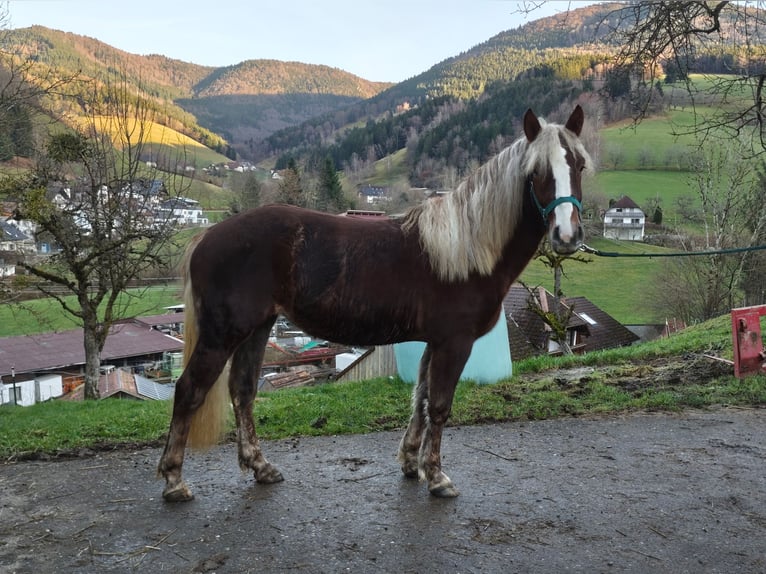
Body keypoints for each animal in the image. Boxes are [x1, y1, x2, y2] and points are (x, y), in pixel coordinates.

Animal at [157, 105, 591, 502]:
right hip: (222, 335)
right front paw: (437, 477)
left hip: (256, 329)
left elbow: (420, 399)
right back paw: (174, 480)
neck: (465, 250)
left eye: (580, 166)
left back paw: (261, 467)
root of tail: (207, 237)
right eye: (537, 171)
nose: (566, 235)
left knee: (243, 391)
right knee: (189, 390)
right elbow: (439, 406)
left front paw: (411, 463)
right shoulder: (455, 343)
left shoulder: (434, 343)